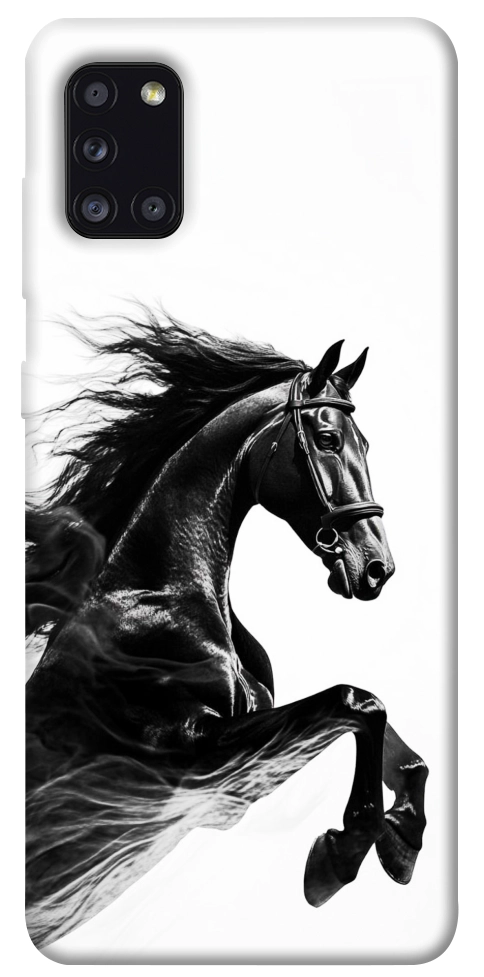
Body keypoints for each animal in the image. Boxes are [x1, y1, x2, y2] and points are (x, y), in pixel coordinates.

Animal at [25, 314, 428, 949]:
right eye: (328, 439)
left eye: (365, 443)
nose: (376, 568)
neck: (162, 598)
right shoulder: (193, 760)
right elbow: (355, 703)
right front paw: (338, 857)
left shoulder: (237, 774)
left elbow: (387, 734)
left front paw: (402, 842)